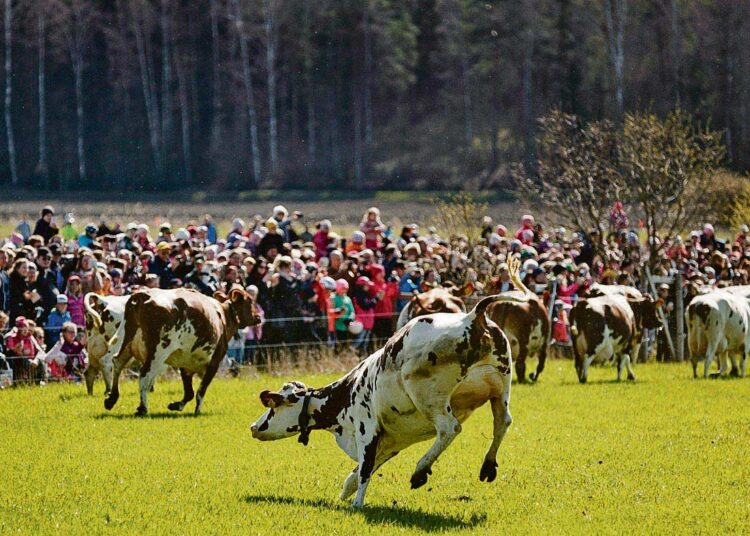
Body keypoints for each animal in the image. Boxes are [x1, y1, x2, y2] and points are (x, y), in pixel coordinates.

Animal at [102, 286, 262, 416]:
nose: (258, 317)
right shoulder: (214, 362)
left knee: (117, 362)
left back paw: (112, 398)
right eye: (249, 301)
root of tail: (143, 295)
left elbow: (189, 392)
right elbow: (201, 390)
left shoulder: (185, 363)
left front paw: (176, 405)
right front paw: (197, 411)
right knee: (145, 375)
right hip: (158, 352)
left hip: (126, 343)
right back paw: (142, 408)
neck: (222, 316)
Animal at [251, 260, 528, 506]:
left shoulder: (367, 430)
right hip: (500, 388)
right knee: (503, 421)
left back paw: (420, 471)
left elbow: (364, 472)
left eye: (273, 406)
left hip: (428, 396)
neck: (346, 394)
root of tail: (471, 315)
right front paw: (344, 496)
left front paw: (357, 505)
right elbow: (357, 474)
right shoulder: (391, 442)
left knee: (450, 428)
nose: (253, 427)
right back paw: (488, 466)